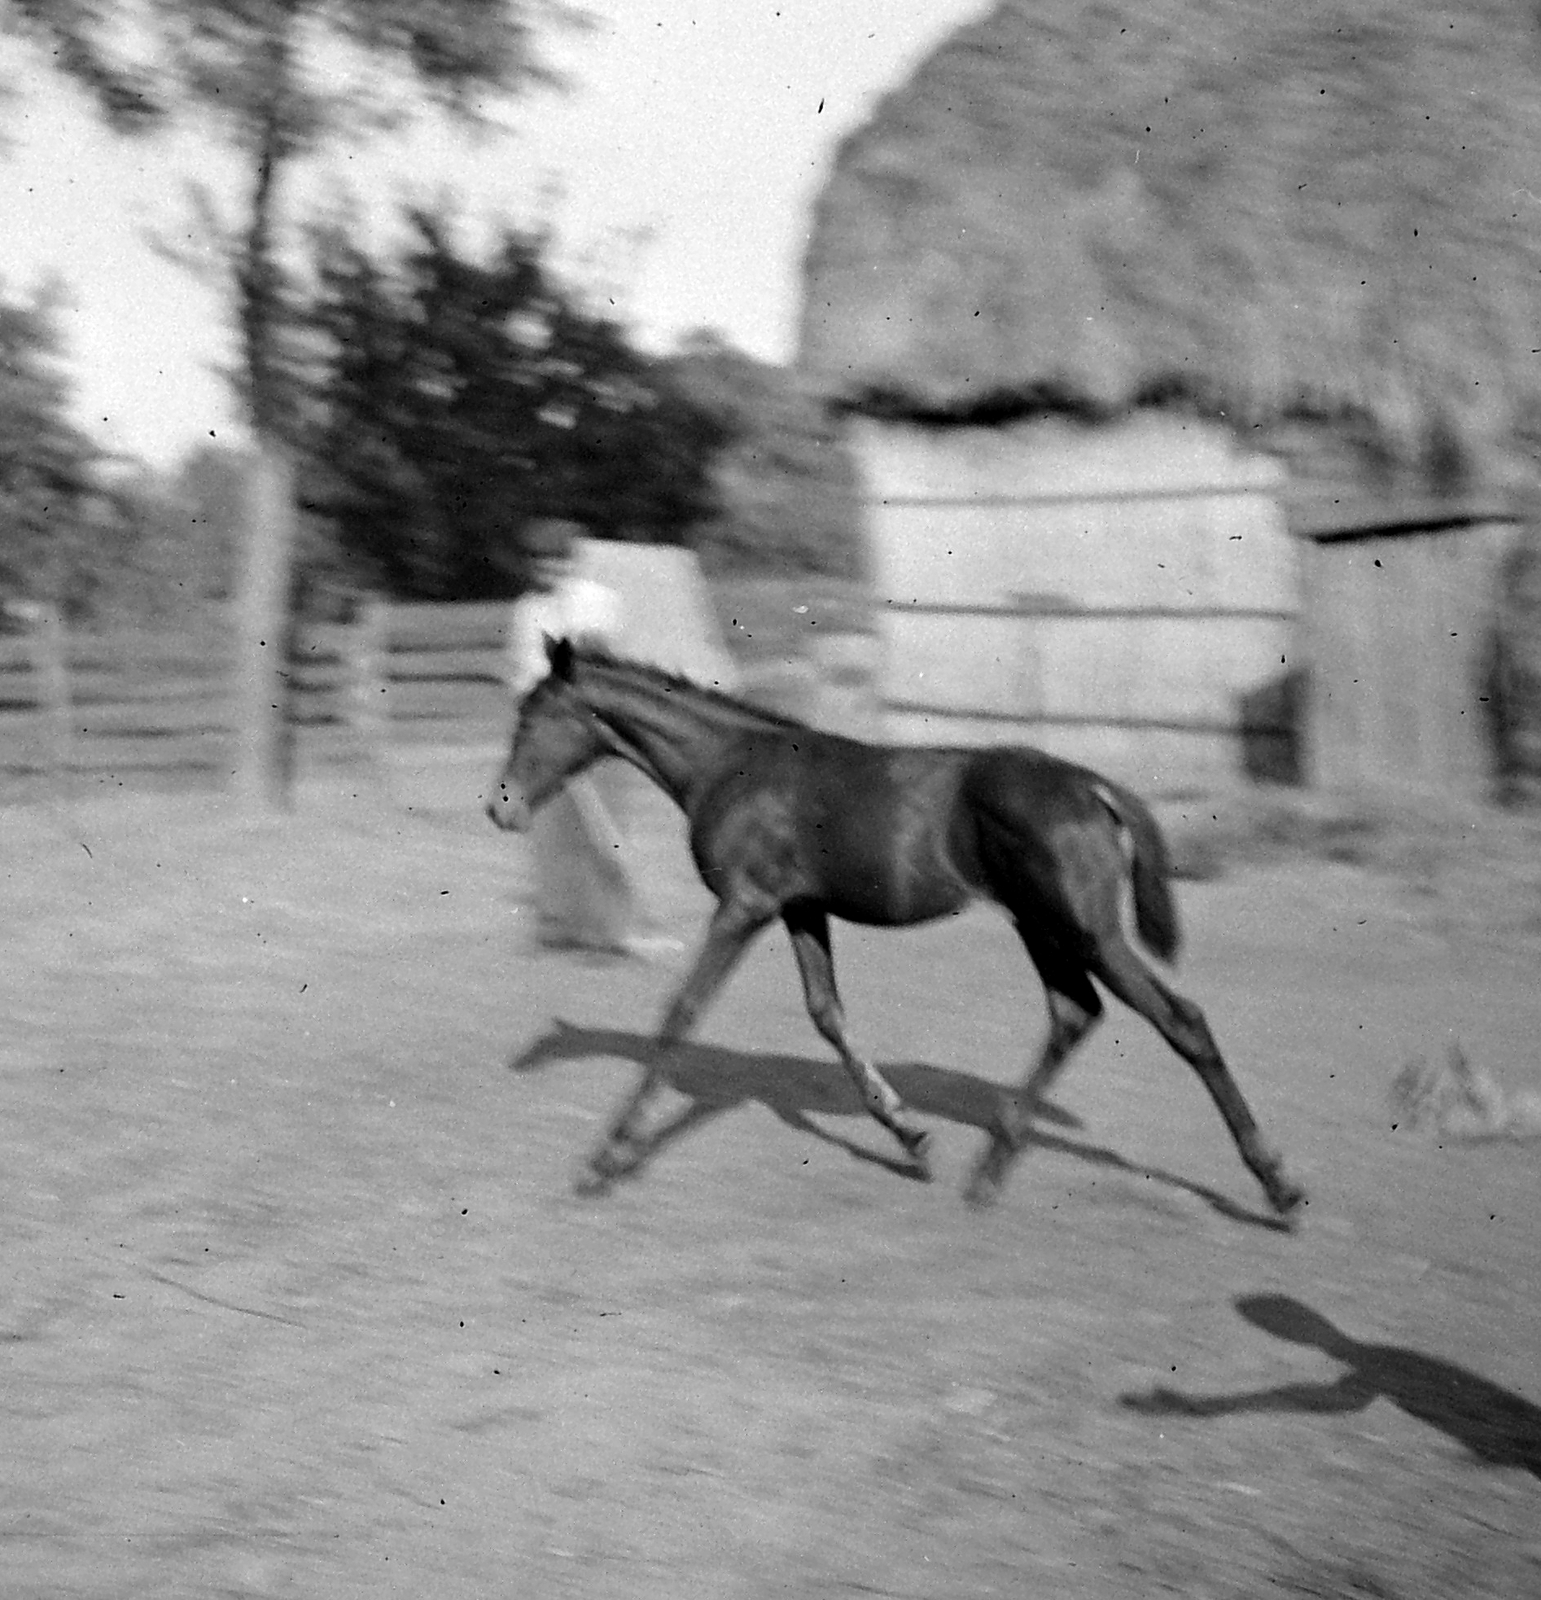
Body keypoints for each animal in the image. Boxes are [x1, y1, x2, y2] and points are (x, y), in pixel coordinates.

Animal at [486, 637, 1305, 1219]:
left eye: (532, 717)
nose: (500, 808)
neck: (729, 766)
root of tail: (1093, 787)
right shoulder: (799, 908)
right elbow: (827, 1014)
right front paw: (910, 1135)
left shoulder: (746, 905)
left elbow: (683, 1010)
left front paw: (605, 1159)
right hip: (1040, 926)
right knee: (1073, 1012)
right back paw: (988, 1171)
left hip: (1086, 930)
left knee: (1179, 1019)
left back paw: (1276, 1184)